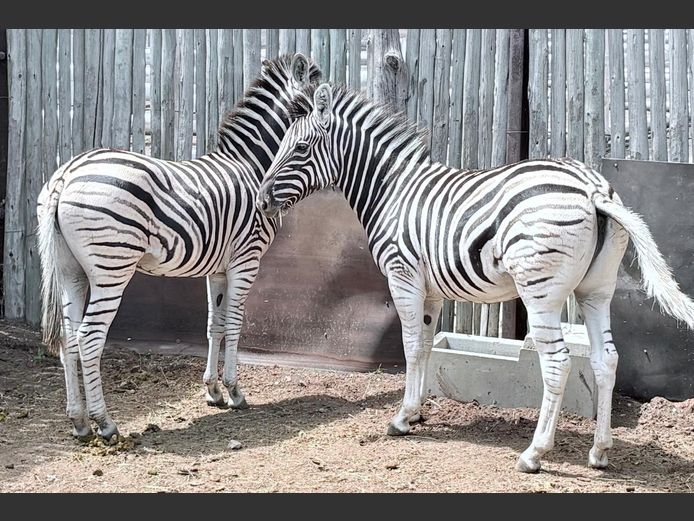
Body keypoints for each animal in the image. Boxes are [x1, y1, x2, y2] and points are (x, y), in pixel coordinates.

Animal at [36, 54, 321, 441]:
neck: (253, 165)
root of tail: (65, 175)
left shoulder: (218, 269)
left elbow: (215, 324)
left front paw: (213, 390)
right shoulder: (246, 260)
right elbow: (235, 323)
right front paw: (235, 391)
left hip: (70, 270)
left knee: (68, 339)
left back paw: (79, 421)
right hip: (112, 266)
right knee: (89, 338)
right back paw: (104, 423)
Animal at [256, 82, 694, 473]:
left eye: (300, 148)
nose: (260, 201)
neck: (391, 191)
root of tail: (593, 189)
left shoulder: (402, 276)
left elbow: (410, 346)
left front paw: (401, 419)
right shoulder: (430, 290)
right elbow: (427, 345)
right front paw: (415, 414)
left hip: (541, 291)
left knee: (558, 363)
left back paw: (534, 454)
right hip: (596, 290)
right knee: (607, 360)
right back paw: (600, 452)